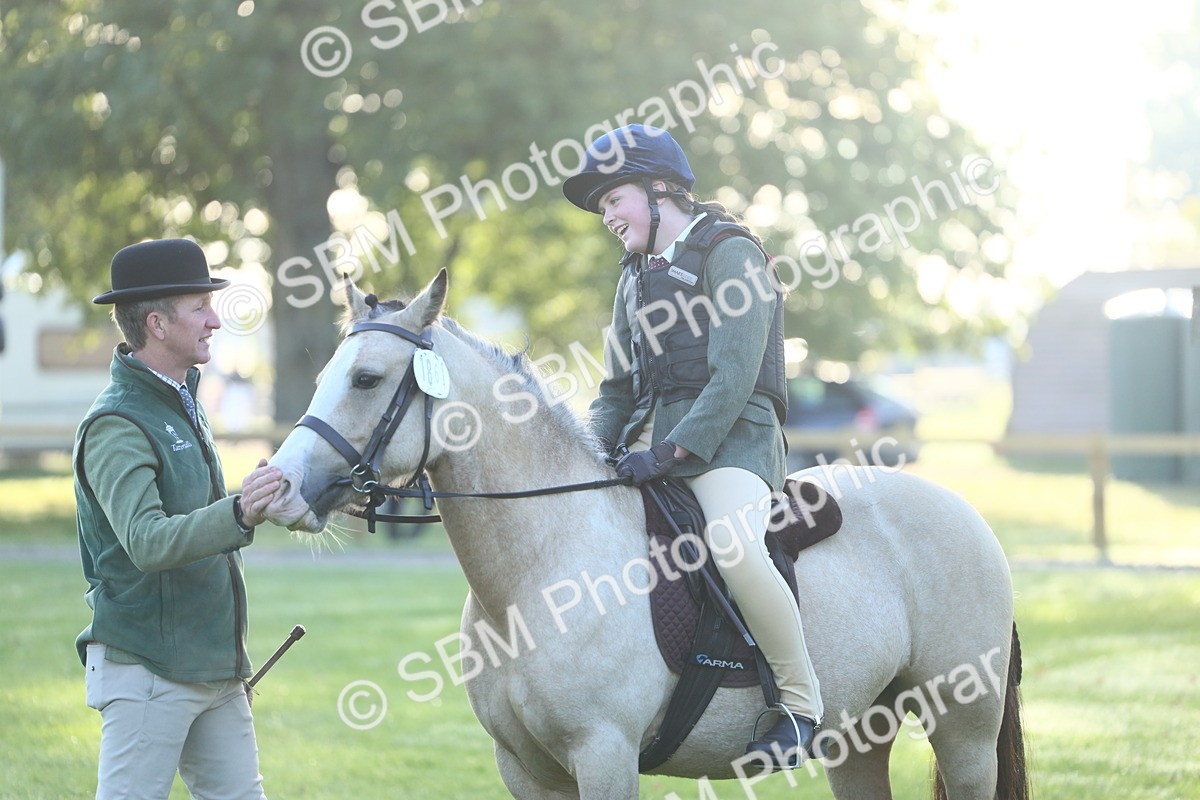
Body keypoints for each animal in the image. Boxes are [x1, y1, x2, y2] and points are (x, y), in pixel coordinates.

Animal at [265, 270, 1028, 800]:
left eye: (367, 379)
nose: (280, 486)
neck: (539, 571)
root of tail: (965, 514)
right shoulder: (525, 770)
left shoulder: (604, 757)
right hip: (860, 734)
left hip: (964, 730)